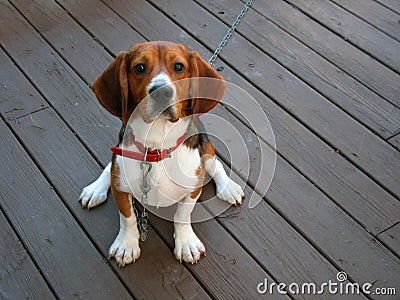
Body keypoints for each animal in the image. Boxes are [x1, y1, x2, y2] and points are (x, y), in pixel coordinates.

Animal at [79, 41, 244, 266]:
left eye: (179, 67)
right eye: (139, 67)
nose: (160, 92)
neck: (156, 148)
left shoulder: (192, 189)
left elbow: (182, 215)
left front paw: (186, 243)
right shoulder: (121, 191)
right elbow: (127, 218)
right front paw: (126, 244)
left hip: (205, 146)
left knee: (214, 164)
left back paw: (229, 187)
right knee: (110, 167)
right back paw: (96, 189)